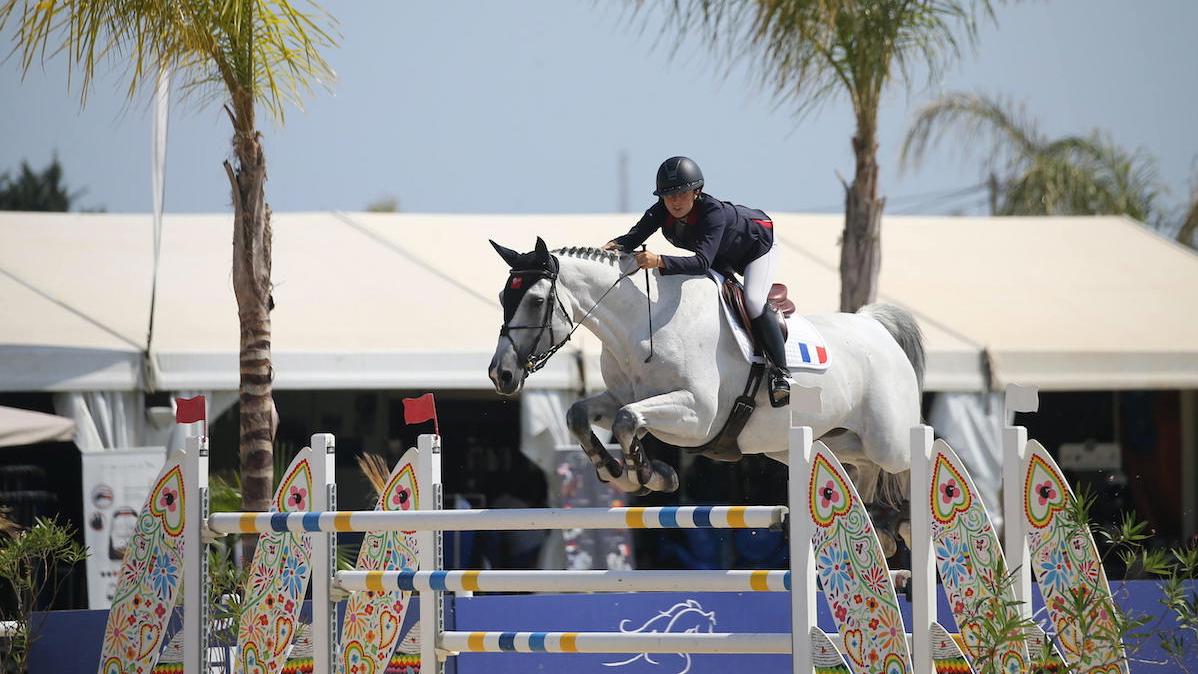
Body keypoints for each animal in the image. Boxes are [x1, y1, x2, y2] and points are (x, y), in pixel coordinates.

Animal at [486, 239, 924, 509]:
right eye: (503, 296)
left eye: (536, 300)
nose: (500, 374)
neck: (643, 322)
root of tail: (875, 326)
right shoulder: (622, 397)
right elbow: (581, 415)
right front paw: (620, 472)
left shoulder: (697, 416)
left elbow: (629, 420)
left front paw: (648, 476)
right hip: (814, 443)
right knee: (859, 466)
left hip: (890, 443)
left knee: (911, 459)